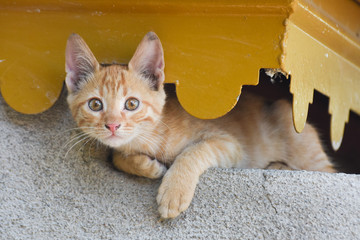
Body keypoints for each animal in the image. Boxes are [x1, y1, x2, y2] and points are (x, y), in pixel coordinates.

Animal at [64, 31, 334, 219]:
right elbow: (117, 157)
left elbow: (194, 151)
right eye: (95, 105)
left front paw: (174, 191)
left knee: (326, 171)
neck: (151, 137)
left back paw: (279, 166)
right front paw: (147, 166)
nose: (112, 126)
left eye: (131, 104)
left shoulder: (230, 144)